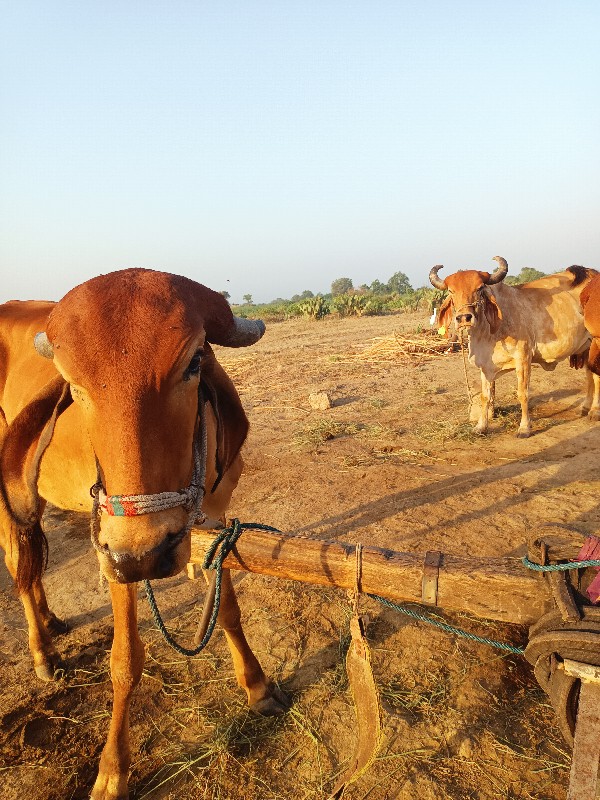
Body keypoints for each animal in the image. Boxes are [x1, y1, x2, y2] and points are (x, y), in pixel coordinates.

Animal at [0, 270, 290, 800]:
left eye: (193, 361)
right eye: (73, 386)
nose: (146, 556)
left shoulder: (213, 520)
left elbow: (229, 611)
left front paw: (258, 687)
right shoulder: (111, 545)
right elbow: (125, 660)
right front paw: (113, 769)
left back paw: (52, 622)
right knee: (20, 568)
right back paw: (42, 652)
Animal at [428, 258, 600, 438]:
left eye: (479, 288)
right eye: (451, 291)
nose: (464, 318)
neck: (489, 331)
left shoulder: (523, 358)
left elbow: (523, 393)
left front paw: (524, 428)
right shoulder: (485, 366)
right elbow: (485, 396)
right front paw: (481, 426)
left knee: (596, 376)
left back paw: (594, 411)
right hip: (587, 346)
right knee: (589, 374)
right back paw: (585, 407)